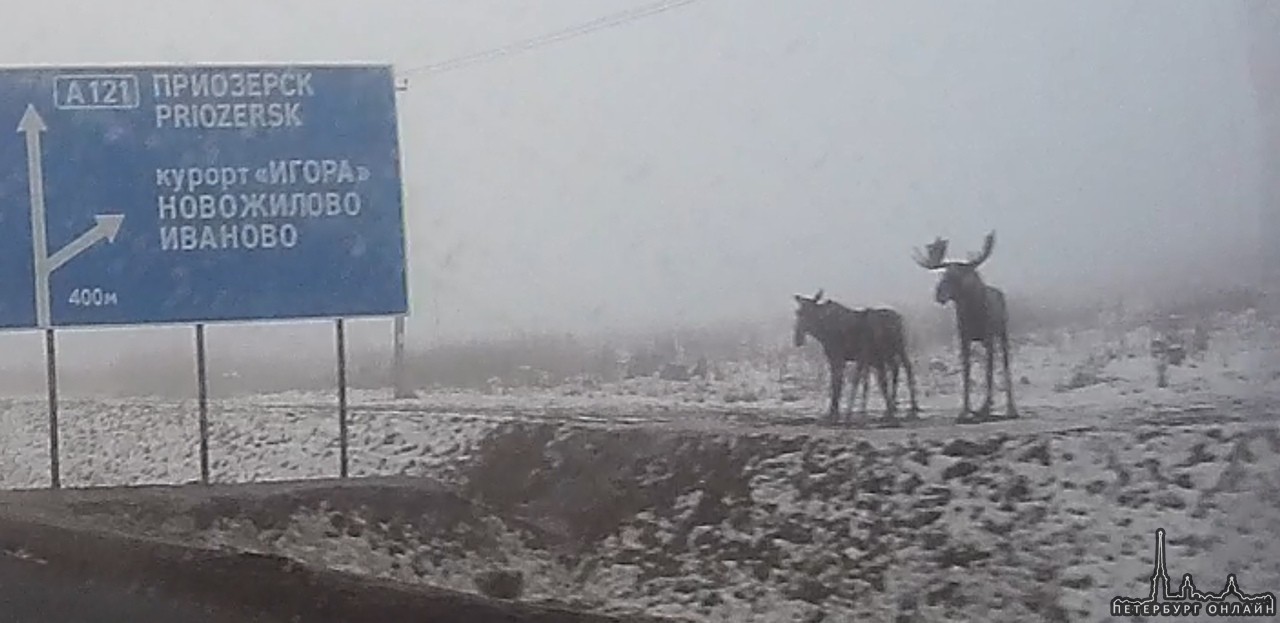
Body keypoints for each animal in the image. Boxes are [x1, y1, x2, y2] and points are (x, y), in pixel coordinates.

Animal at [788, 291, 921, 427]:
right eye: (798, 312)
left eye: (809, 312)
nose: (798, 339)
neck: (822, 332)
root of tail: (900, 317)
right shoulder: (835, 358)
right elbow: (836, 383)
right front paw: (833, 412)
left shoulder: (839, 358)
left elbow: (838, 384)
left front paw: (835, 413)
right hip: (887, 354)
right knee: (895, 370)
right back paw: (893, 406)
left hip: (899, 348)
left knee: (908, 368)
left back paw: (913, 407)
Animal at [916, 231, 1013, 422]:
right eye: (943, 275)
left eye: (957, 276)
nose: (938, 294)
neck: (972, 314)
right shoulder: (964, 337)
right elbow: (966, 372)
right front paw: (965, 410)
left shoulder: (989, 337)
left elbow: (989, 372)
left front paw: (985, 408)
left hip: (1002, 332)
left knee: (1005, 364)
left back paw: (1011, 407)